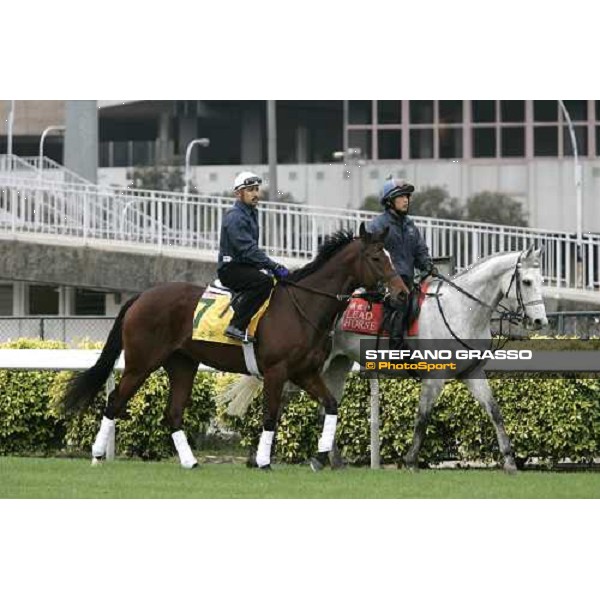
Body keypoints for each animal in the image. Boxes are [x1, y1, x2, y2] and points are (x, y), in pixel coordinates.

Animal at [62, 224, 408, 468]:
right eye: (376, 258)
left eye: (390, 256)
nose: (402, 293)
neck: (303, 305)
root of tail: (140, 296)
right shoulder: (276, 371)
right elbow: (270, 415)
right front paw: (264, 461)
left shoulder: (305, 373)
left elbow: (332, 405)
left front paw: (320, 457)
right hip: (140, 363)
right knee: (114, 402)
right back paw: (97, 455)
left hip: (182, 364)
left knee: (173, 413)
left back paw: (190, 462)